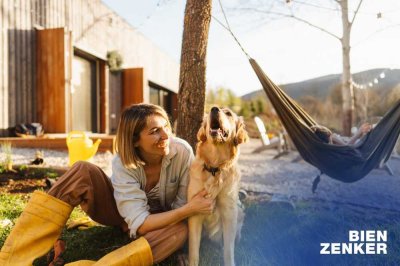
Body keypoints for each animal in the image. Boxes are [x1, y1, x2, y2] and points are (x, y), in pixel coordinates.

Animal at [187, 106, 247, 266]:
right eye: (209, 112)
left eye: (228, 113)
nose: (214, 109)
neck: (215, 167)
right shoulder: (195, 212)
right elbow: (193, 249)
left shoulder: (229, 212)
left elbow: (228, 250)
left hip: (239, 211)